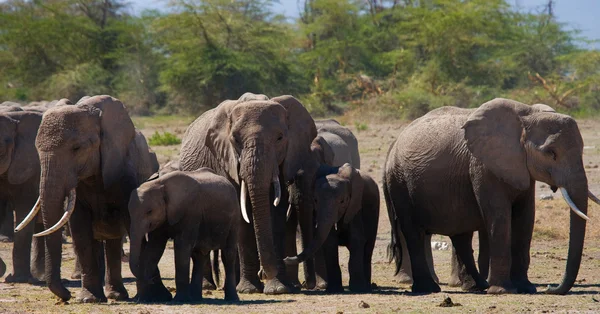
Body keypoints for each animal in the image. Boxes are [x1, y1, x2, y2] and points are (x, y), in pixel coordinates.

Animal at [16, 95, 158, 302]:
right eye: (37, 149)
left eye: (77, 148)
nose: (66, 295)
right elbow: (80, 230)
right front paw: (88, 299)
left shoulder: (124, 170)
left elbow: (132, 222)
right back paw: (112, 295)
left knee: (114, 239)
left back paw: (117, 296)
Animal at [128, 168, 239, 302]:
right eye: (129, 212)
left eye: (149, 212)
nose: (150, 280)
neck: (160, 184)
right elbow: (154, 248)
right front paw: (143, 299)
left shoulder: (191, 212)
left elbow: (182, 247)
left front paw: (180, 300)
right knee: (199, 255)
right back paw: (196, 298)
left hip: (234, 218)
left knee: (228, 254)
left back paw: (232, 299)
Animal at [179, 92, 316, 294]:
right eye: (235, 140)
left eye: (280, 138)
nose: (263, 273)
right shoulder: (226, 161)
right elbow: (242, 218)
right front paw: (249, 290)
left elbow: (276, 215)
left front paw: (278, 289)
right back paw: (208, 287)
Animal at [284, 163, 378, 294]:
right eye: (315, 200)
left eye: (343, 201)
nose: (285, 258)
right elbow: (330, 242)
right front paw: (334, 289)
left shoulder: (355, 206)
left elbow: (356, 239)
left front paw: (358, 289)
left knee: (368, 248)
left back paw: (367, 287)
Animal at [382, 98, 596, 294]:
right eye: (551, 153)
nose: (551, 288)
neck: (526, 116)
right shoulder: (483, 166)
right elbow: (499, 216)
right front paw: (503, 291)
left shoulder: (521, 167)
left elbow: (526, 217)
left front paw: (526, 288)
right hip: (399, 180)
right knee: (413, 232)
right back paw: (429, 289)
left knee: (460, 235)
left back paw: (476, 286)